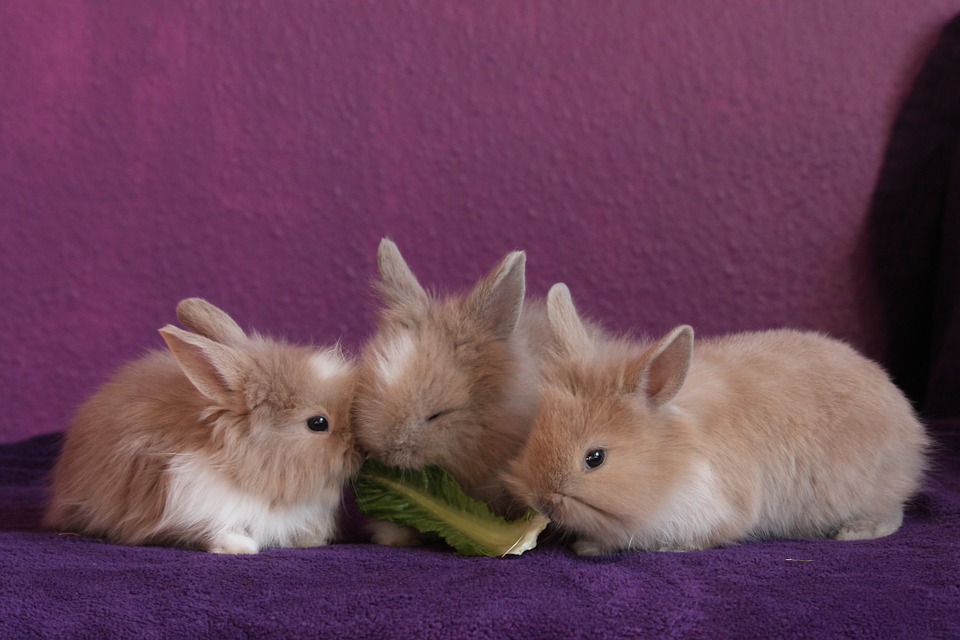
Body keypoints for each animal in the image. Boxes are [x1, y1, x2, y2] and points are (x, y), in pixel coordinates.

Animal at [502, 284, 928, 556]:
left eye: (595, 458)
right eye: (533, 436)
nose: (542, 500)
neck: (671, 460)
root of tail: (910, 426)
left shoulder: (710, 511)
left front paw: (589, 546)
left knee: (893, 514)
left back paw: (855, 533)